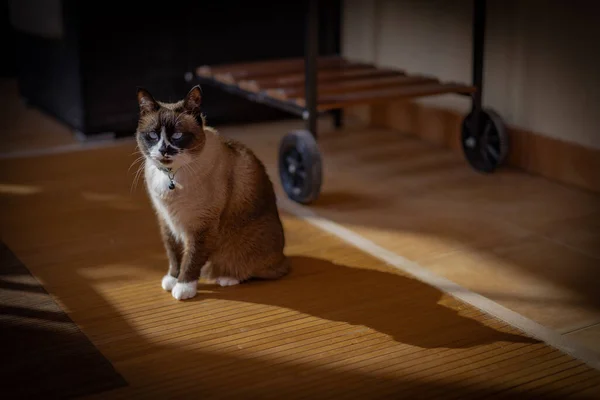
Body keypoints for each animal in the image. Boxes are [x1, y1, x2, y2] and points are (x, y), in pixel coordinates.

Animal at [135, 86, 288, 302]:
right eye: (153, 136)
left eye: (178, 136)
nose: (164, 150)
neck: (171, 176)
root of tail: (283, 258)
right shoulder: (167, 220)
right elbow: (174, 254)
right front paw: (172, 278)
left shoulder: (201, 226)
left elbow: (191, 259)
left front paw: (183, 288)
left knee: (257, 270)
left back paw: (227, 278)